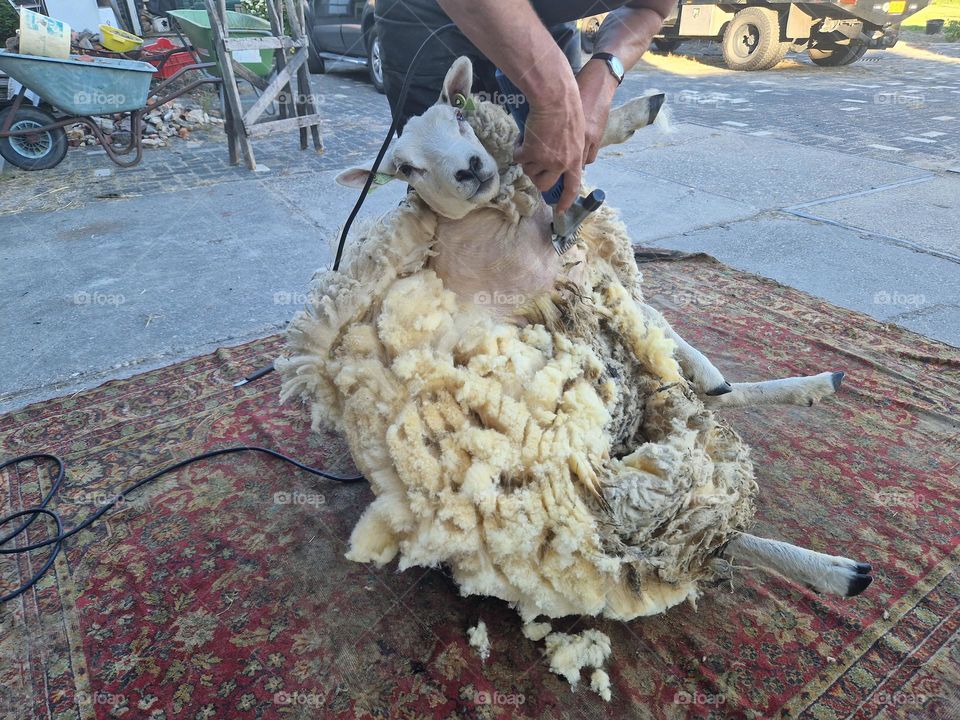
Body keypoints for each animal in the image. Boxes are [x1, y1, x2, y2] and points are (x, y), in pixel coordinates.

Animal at [277, 56, 872, 633]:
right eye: (405, 168)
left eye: (460, 116)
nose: (469, 169)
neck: (484, 222)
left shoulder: (541, 218)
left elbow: (557, 147)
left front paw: (633, 110)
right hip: (592, 485)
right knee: (693, 535)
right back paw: (839, 570)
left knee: (701, 416)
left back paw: (804, 386)